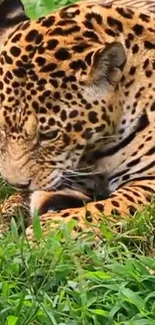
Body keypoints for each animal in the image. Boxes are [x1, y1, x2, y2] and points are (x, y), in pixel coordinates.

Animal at [0, 0, 155, 239]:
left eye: (49, 135)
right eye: (1, 128)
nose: (17, 184)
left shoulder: (148, 181)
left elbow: (101, 208)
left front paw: (47, 232)